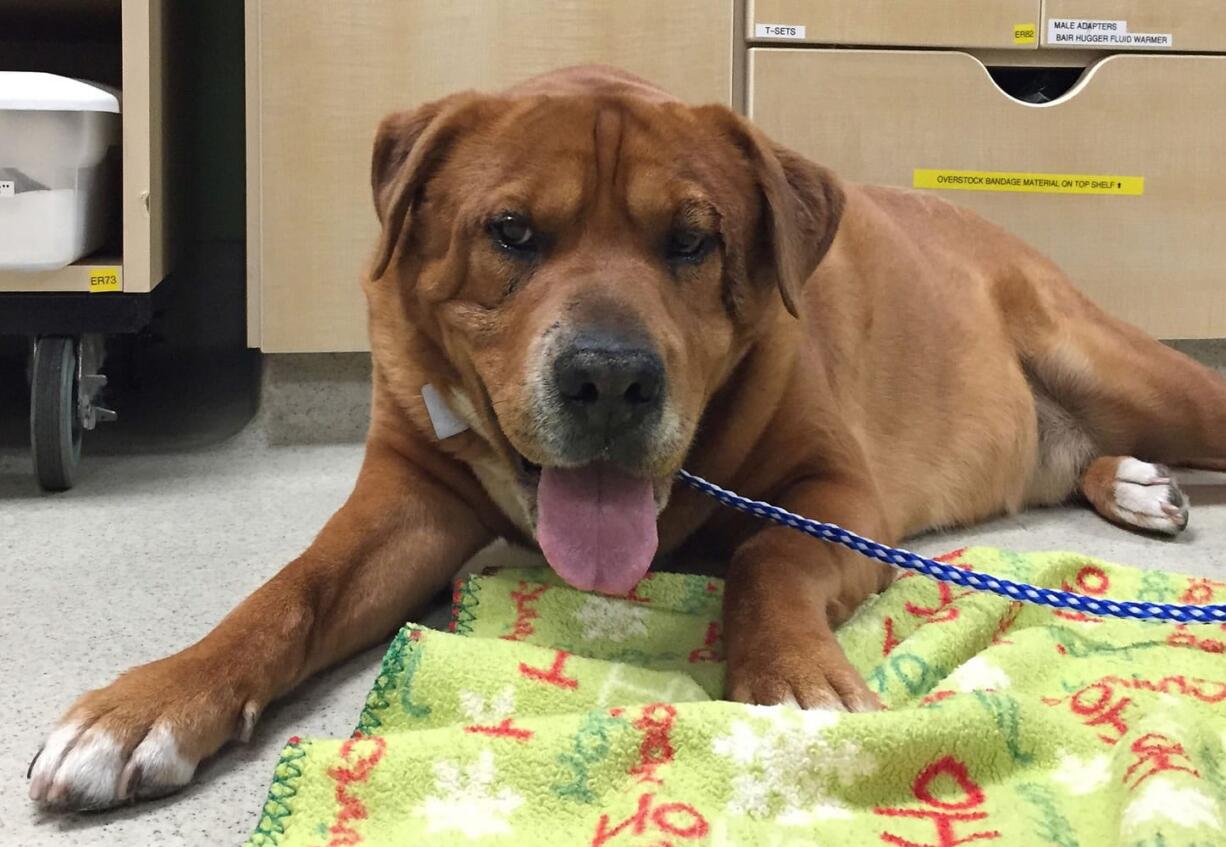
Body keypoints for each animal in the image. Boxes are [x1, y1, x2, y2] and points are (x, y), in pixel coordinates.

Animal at [31, 64, 1226, 809]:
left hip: (1131, 370)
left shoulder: (835, 492)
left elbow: (768, 554)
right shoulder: (405, 499)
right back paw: (1130, 483)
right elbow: (289, 592)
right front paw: (147, 705)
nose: (609, 377)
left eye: (691, 241)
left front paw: (792, 680)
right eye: (511, 231)